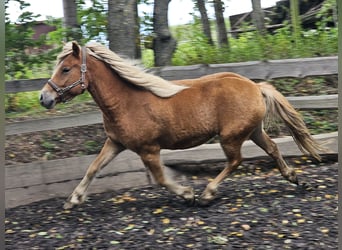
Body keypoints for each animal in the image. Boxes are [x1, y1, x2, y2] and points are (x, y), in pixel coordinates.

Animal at [40, 41, 324, 209]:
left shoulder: (148, 150)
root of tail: (255, 86)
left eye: (65, 69)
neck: (126, 101)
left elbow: (161, 178)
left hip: (230, 137)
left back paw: (208, 194)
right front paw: (73, 200)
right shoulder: (115, 143)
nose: (44, 98)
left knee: (235, 161)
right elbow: (93, 168)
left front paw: (188, 194)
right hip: (253, 131)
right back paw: (295, 179)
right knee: (273, 149)